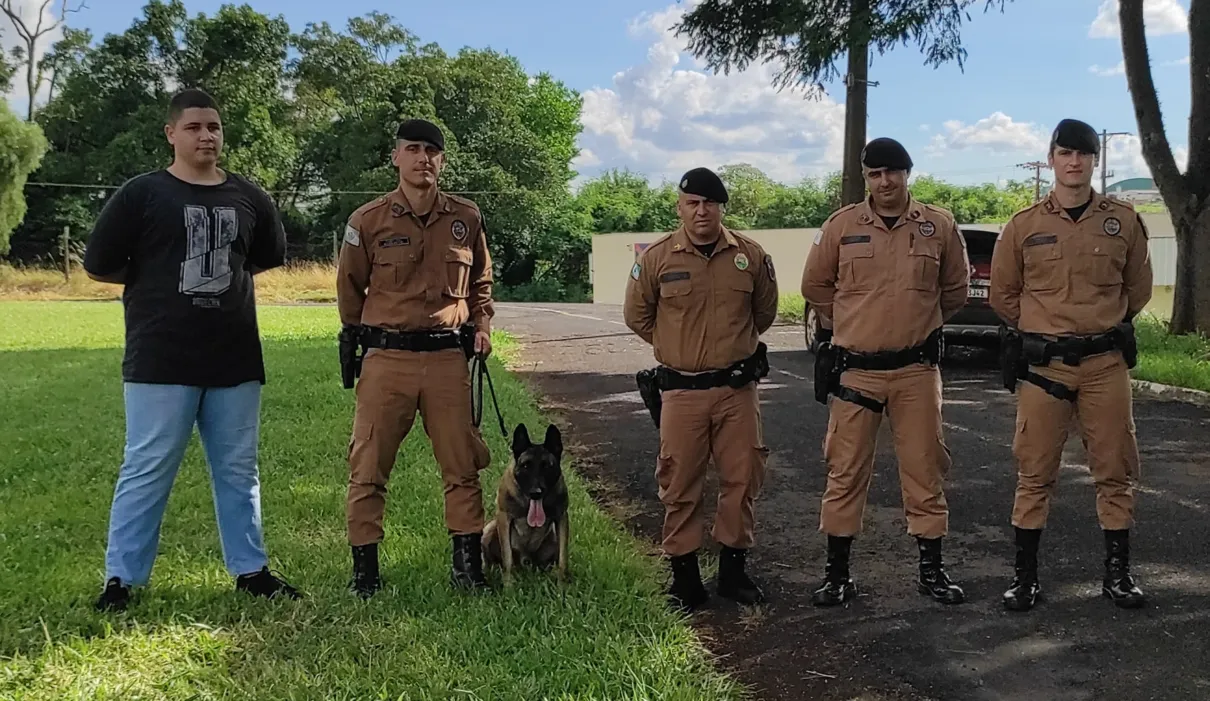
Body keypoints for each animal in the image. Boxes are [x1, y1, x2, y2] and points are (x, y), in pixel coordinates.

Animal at [481, 421, 571, 585]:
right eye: (526, 466)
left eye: (547, 466)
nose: (536, 492)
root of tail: (526, 561)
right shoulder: (504, 518)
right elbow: (507, 558)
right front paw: (508, 586)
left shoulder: (561, 518)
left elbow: (563, 559)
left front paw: (561, 585)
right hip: (489, 528)